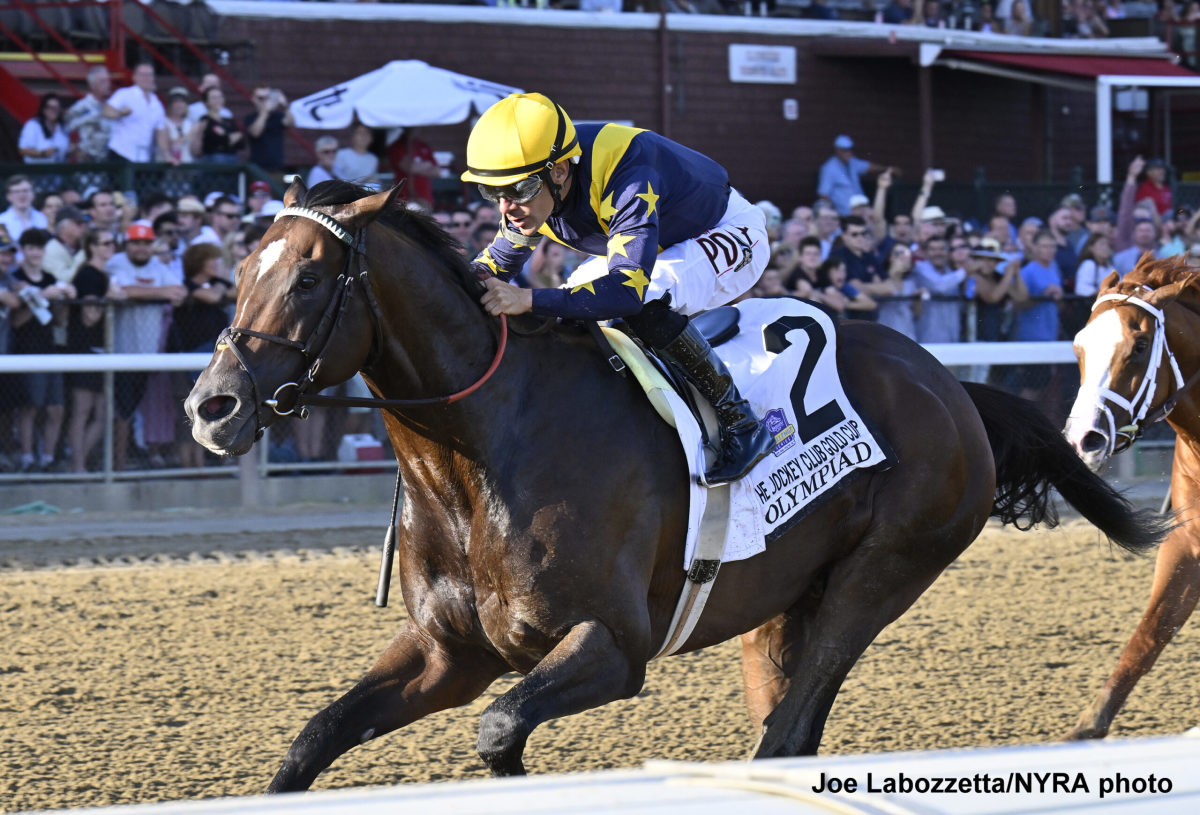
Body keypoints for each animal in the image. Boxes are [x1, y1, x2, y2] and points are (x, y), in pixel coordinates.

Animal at [184, 181, 1161, 792]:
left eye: (309, 278)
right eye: (237, 275)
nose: (211, 405)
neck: (480, 447)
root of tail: (951, 385)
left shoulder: (613, 643)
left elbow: (500, 731)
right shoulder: (448, 651)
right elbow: (313, 738)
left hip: (880, 574)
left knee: (790, 725)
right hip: (782, 602)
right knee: (788, 732)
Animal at [1065, 258, 1195, 744]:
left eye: (1139, 347)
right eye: (1078, 348)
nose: (1083, 441)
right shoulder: (1188, 541)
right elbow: (1152, 630)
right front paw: (1088, 725)